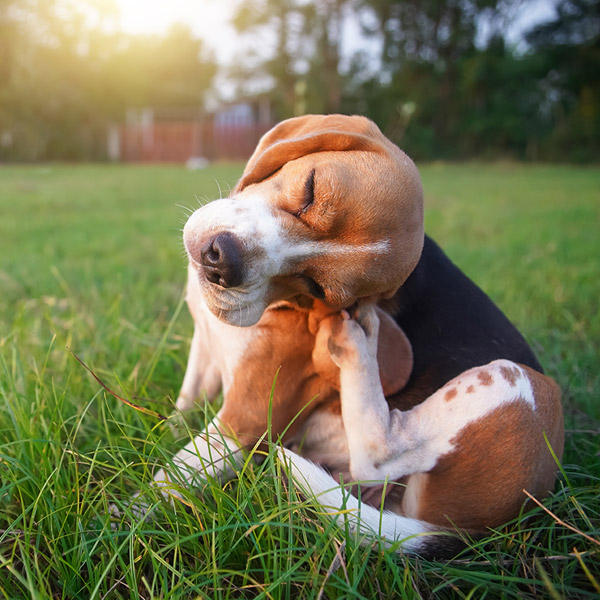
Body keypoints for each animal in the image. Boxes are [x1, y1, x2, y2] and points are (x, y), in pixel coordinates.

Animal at [146, 116, 564, 556]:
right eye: (310, 189)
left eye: (316, 288)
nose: (222, 262)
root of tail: (464, 531)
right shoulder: (204, 351)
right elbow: (183, 409)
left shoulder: (244, 422)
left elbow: (164, 483)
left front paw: (124, 518)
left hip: (518, 383)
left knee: (380, 455)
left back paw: (357, 342)